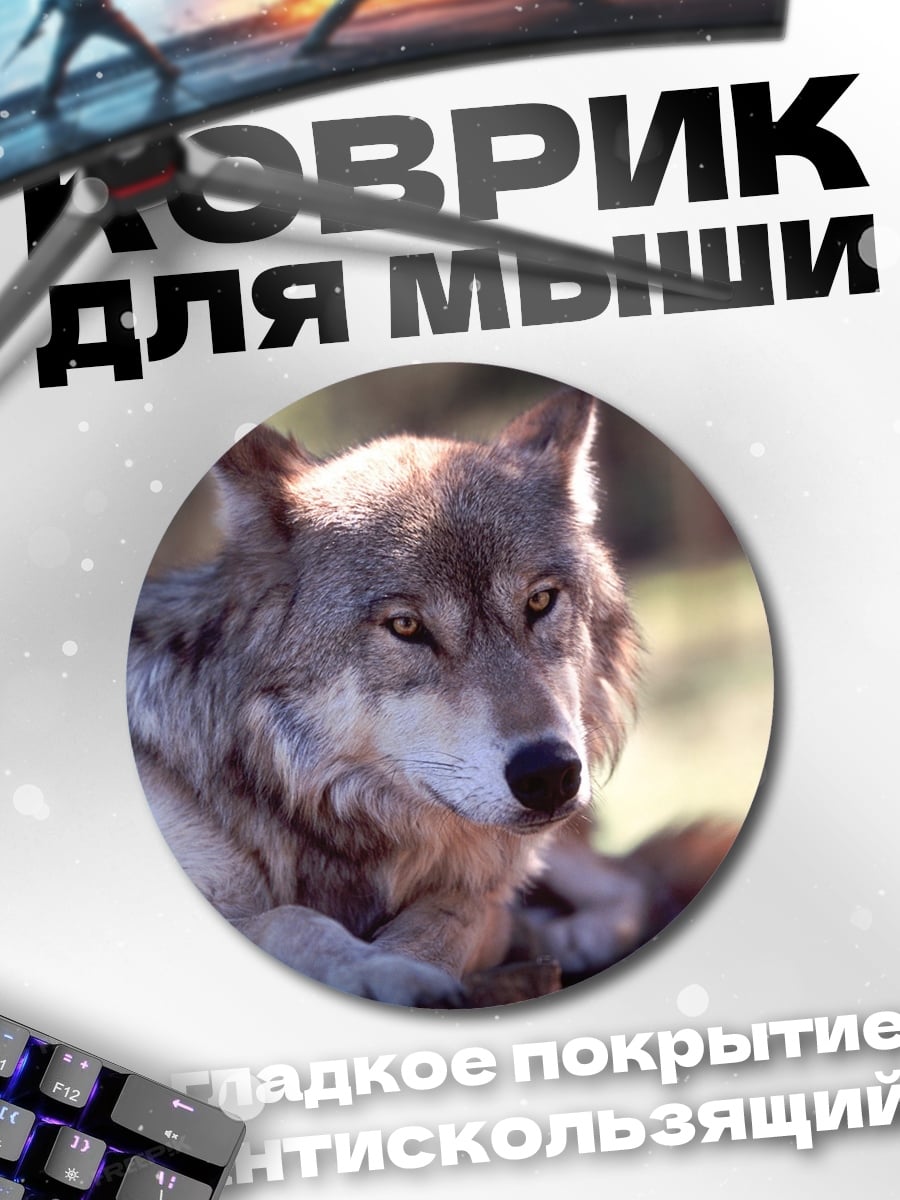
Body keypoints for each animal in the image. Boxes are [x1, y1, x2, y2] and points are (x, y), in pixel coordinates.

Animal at [127, 391, 673, 1006]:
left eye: (539, 601)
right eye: (407, 626)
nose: (549, 774)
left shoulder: (478, 891)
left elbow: (459, 913)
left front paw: (409, 961)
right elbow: (288, 919)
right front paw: (382, 970)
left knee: (635, 882)